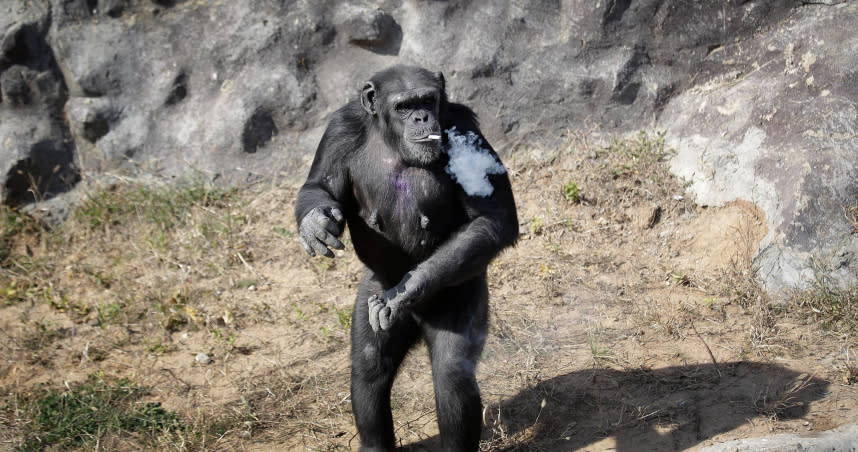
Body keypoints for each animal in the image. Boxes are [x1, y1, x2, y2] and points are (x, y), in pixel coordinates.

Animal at [294, 65, 516, 450]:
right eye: (404, 106)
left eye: (427, 100)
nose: (421, 117)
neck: (391, 140)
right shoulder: (339, 130)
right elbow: (318, 185)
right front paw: (315, 223)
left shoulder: (465, 128)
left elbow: (494, 217)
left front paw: (409, 288)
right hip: (373, 289)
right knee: (369, 368)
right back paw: (373, 442)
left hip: (462, 292)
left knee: (452, 373)